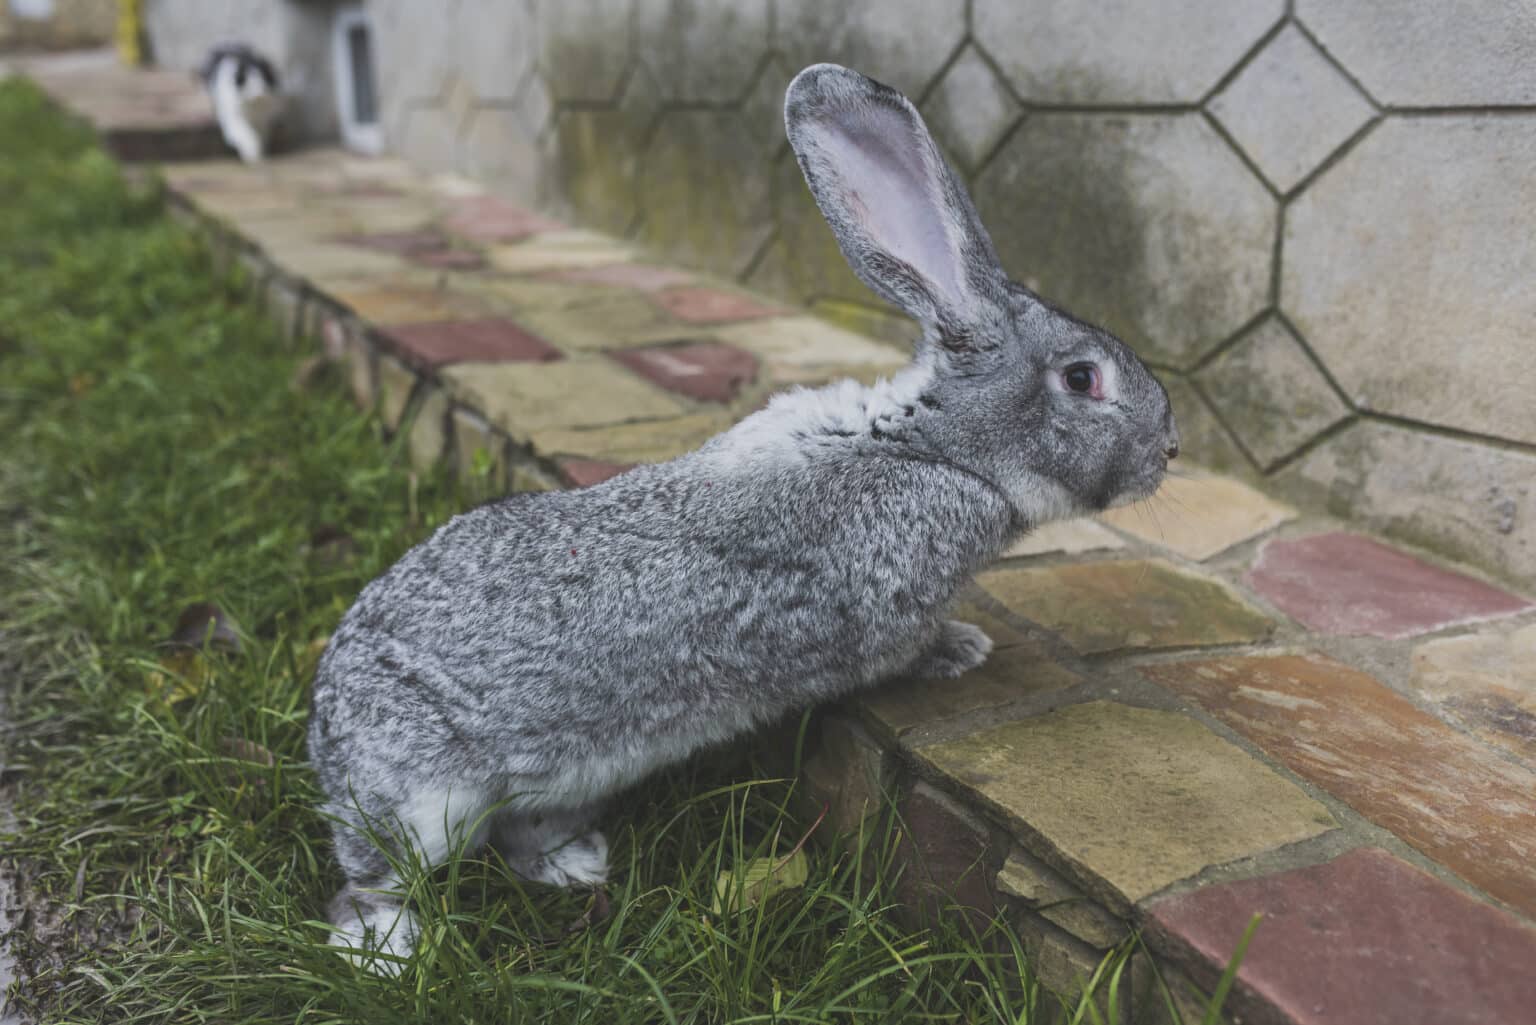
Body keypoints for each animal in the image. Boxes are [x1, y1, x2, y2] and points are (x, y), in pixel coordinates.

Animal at [308, 64, 1173, 971]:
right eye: (1083, 379)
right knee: (372, 879)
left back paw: (577, 864)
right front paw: (964, 649)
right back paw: (385, 949)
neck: (936, 449)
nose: (1170, 446)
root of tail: (327, 737)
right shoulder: (882, 606)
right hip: (424, 807)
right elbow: (900, 648)